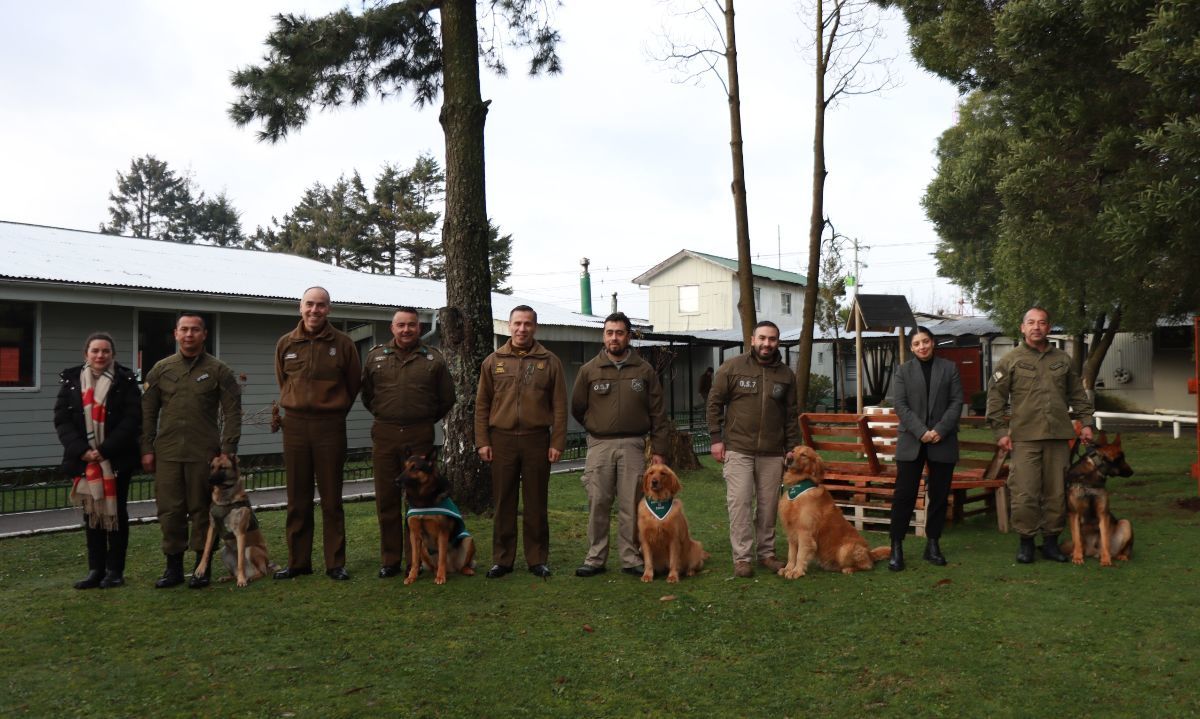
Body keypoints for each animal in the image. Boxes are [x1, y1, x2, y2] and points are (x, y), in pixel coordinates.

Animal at [195, 458, 277, 588]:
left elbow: (240, 561)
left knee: (261, 572)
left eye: (223, 467)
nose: (209, 479)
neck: (224, 498)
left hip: (251, 549)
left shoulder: (240, 532)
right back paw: (228, 577)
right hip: (224, 552)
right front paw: (200, 569)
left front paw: (242, 580)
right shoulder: (212, 527)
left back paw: (249, 578)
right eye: (212, 467)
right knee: (234, 573)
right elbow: (206, 550)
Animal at [403, 456, 477, 585]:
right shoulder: (414, 534)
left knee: (462, 565)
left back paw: (465, 570)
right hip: (423, 548)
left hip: (469, 540)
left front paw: (441, 577)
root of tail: (451, 568)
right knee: (433, 566)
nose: (397, 480)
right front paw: (412, 576)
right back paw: (435, 571)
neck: (422, 499)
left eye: (415, 467)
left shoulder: (443, 532)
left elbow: (442, 556)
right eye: (404, 466)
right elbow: (414, 560)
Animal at [777, 444, 892, 578]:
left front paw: (797, 571)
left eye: (804, 455)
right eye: (793, 451)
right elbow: (791, 554)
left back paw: (849, 569)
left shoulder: (804, 532)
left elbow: (800, 554)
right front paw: (788, 568)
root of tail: (870, 553)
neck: (799, 485)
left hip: (845, 549)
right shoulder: (792, 532)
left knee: (868, 565)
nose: (789, 458)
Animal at [1060, 432, 1132, 568]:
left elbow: (1104, 539)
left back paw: (1121, 556)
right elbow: (1076, 539)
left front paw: (1106, 559)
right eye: (1122, 459)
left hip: (1126, 523)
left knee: (1124, 550)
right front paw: (1077, 557)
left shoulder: (1103, 514)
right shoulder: (1074, 515)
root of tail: (1093, 552)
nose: (1132, 472)